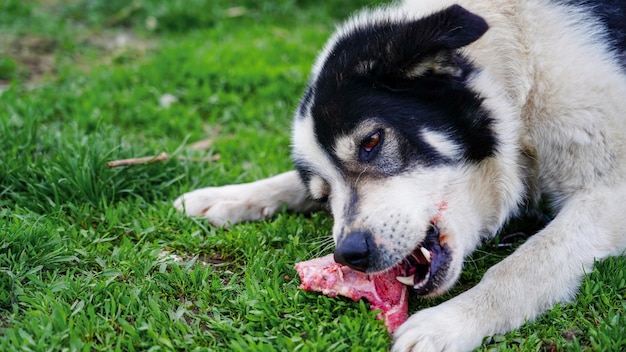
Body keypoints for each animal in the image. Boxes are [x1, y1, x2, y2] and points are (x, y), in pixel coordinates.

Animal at [174, 0, 624, 350]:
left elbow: (527, 264)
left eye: (372, 141)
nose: (349, 254)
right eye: (322, 194)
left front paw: (448, 323)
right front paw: (225, 197)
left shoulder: (609, 191)